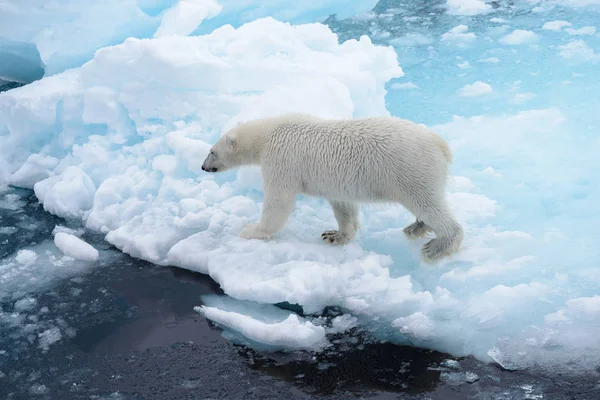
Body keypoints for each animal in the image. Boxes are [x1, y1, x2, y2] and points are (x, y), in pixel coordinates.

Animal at [202, 113, 464, 262]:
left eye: (212, 151)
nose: (204, 167)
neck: (267, 134)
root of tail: (441, 144)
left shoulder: (281, 158)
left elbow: (279, 200)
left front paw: (251, 230)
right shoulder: (338, 183)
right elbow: (344, 206)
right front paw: (334, 235)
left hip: (411, 169)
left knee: (427, 203)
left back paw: (436, 246)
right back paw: (416, 227)